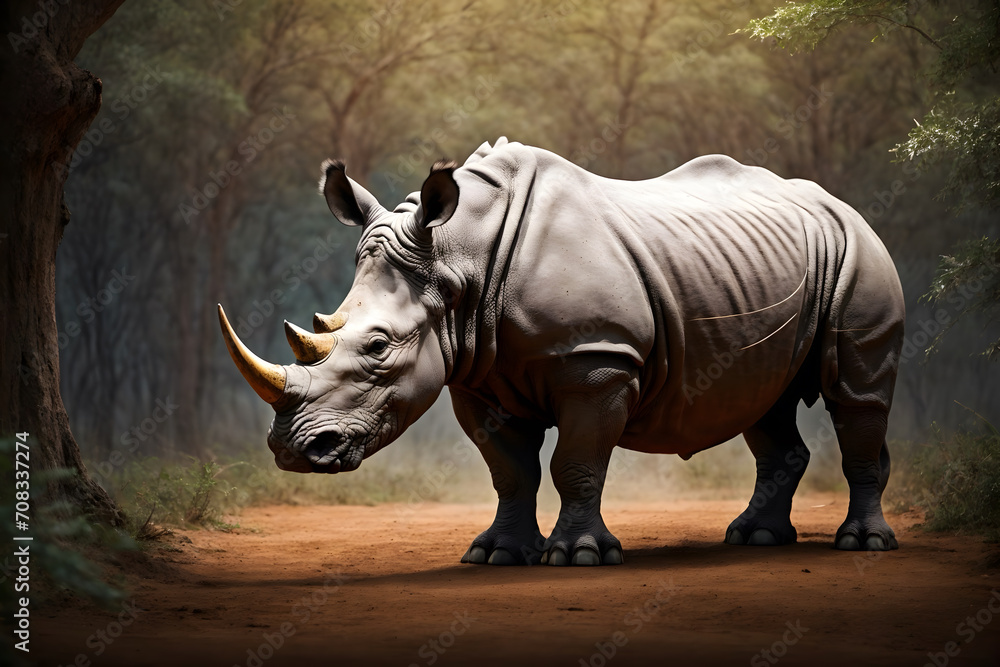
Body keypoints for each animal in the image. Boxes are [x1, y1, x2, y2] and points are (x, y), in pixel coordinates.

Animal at [218, 137, 905, 566]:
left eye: (379, 346)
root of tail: (843, 206)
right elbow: (509, 470)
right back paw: (755, 539)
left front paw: (577, 556)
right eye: (323, 323)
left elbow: (575, 461)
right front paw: (495, 554)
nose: (294, 450)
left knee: (856, 394)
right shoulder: (477, 375)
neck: (459, 259)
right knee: (764, 400)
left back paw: (862, 545)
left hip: (860, 251)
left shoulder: (597, 361)